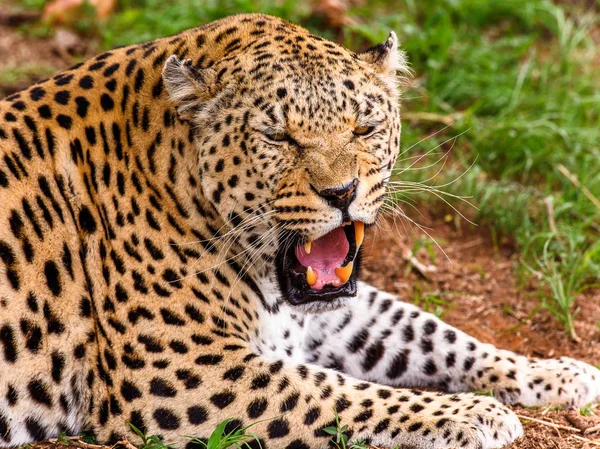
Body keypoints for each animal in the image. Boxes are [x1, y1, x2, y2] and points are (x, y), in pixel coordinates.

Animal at [0, 13, 596, 448]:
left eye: (364, 127)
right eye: (277, 137)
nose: (342, 192)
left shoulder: (328, 309)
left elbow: (430, 332)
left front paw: (558, 373)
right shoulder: (183, 368)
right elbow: (340, 391)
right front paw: (472, 413)